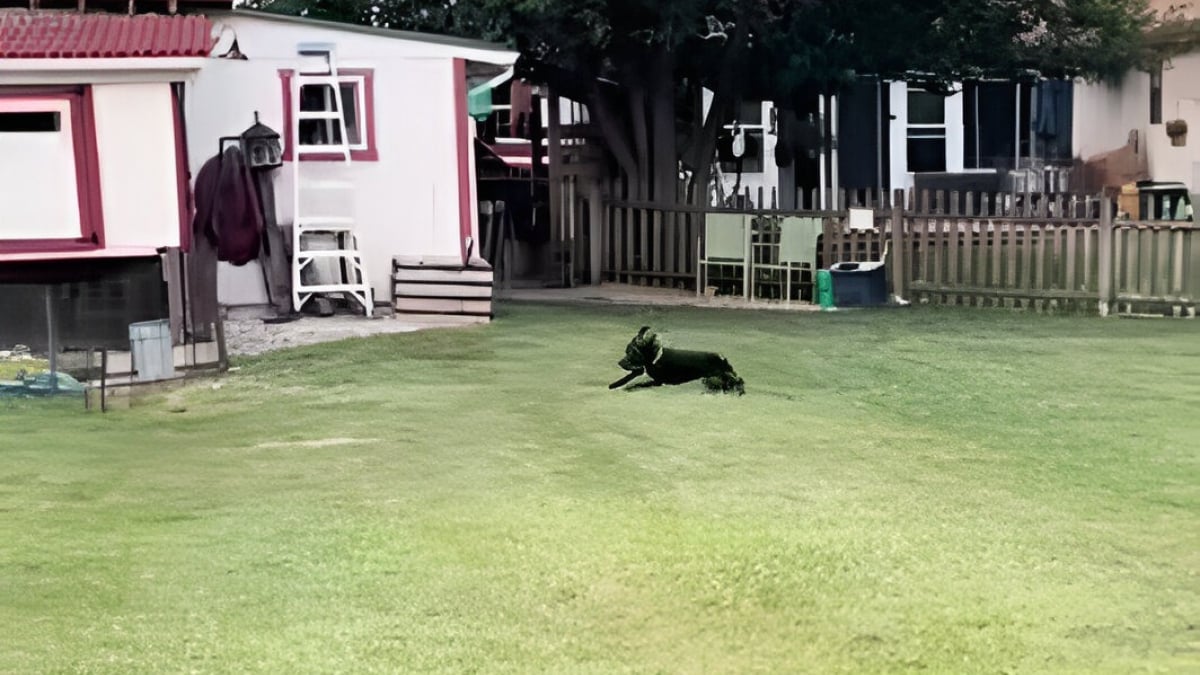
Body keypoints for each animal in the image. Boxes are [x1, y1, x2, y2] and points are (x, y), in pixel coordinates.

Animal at [609, 326, 739, 393]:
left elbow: (638, 383)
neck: (655, 359)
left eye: (630, 353)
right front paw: (615, 385)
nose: (619, 363)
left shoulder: (658, 381)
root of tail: (723, 359)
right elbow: (628, 378)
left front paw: (627, 387)